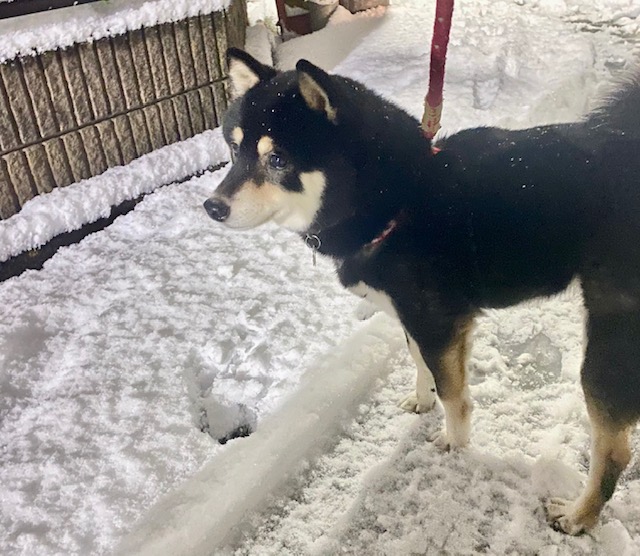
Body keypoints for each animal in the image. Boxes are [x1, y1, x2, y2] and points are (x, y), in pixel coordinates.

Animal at [205, 50, 640, 536]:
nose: (212, 206)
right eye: (234, 151)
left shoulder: (435, 322)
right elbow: (420, 363)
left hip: (610, 340)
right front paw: (422, 398)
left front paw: (454, 441)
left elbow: (454, 394)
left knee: (614, 449)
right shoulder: (417, 319)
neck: (399, 198)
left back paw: (580, 515)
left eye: (277, 159)